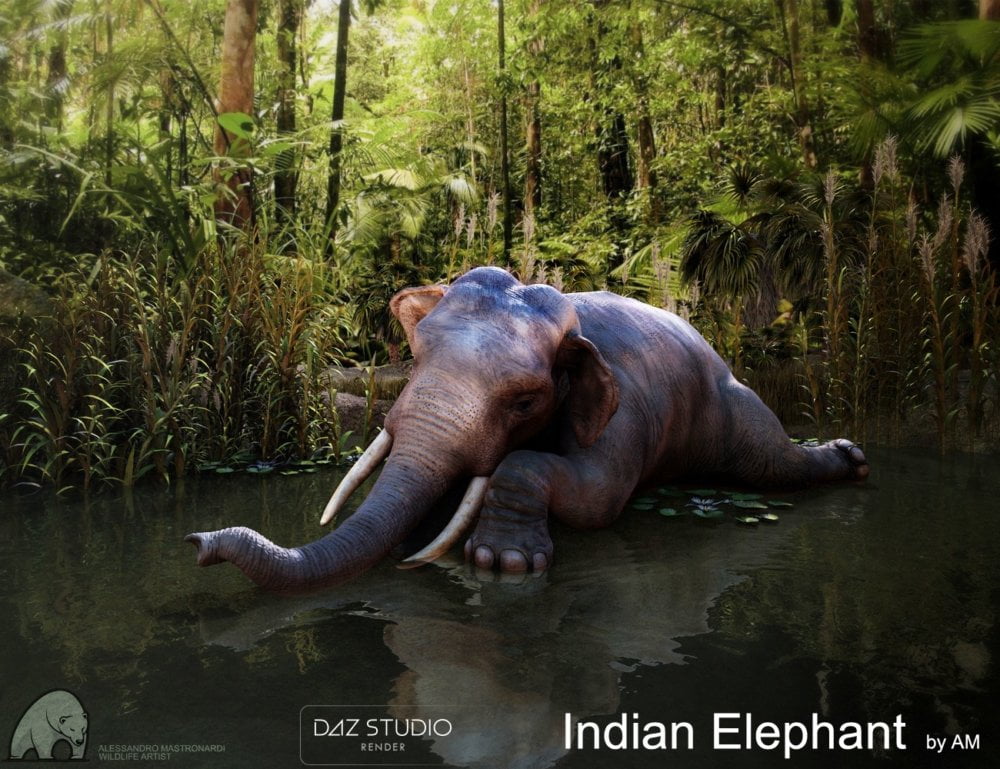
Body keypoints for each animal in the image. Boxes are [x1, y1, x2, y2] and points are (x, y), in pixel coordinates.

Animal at [186, 266, 868, 592]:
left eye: (525, 401)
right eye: (417, 353)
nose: (198, 541)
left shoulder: (620, 411)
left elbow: (597, 497)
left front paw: (500, 564)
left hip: (729, 405)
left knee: (769, 461)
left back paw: (850, 456)